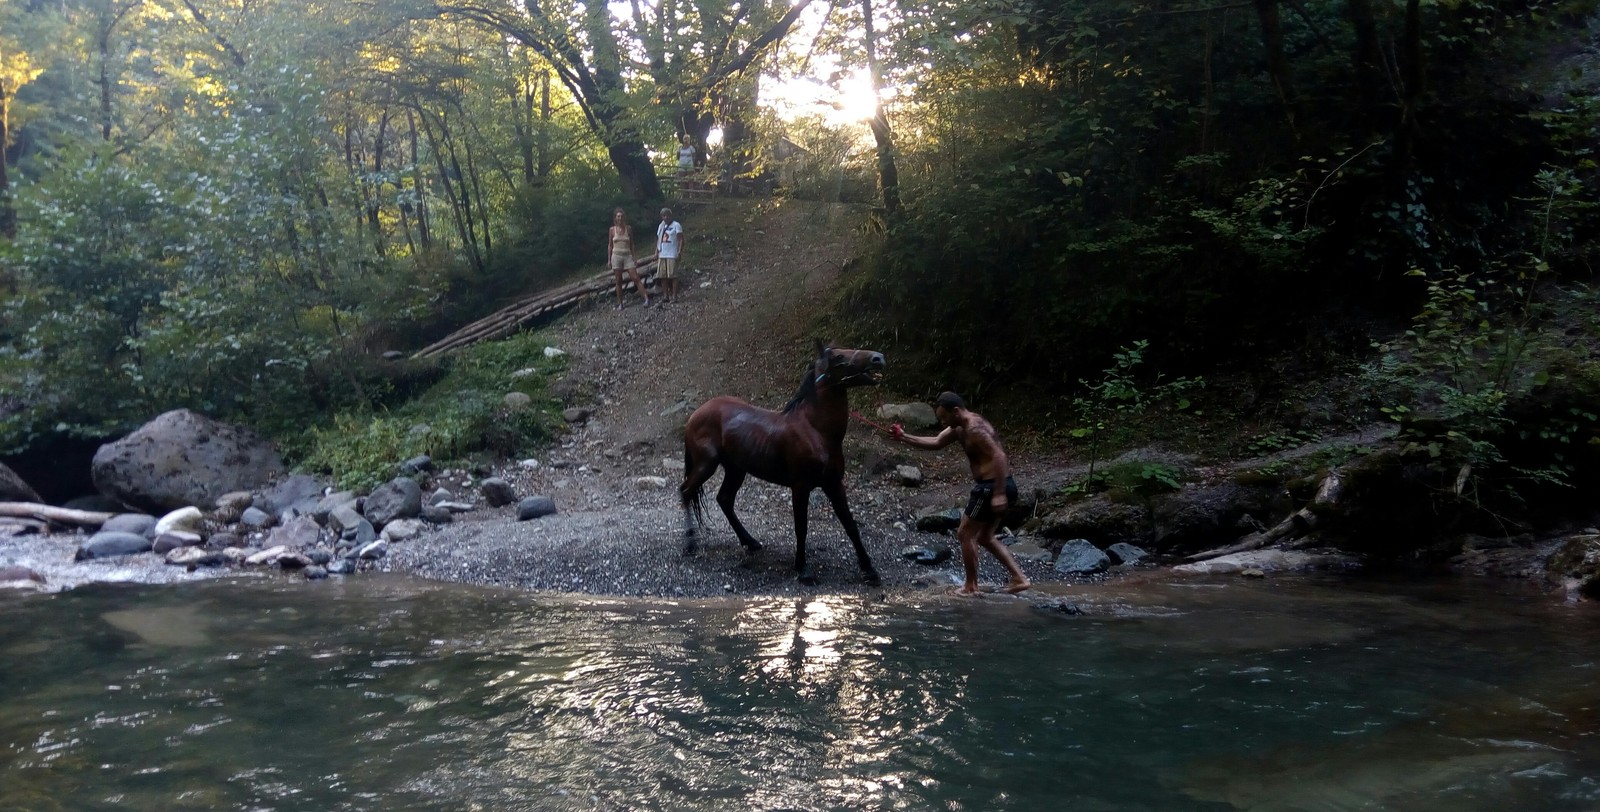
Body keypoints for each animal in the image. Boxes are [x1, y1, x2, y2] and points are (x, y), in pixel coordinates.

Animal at [678, 340, 889, 585]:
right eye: (838, 356)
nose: (878, 358)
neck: (817, 432)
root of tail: (695, 415)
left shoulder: (834, 484)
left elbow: (850, 525)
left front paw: (869, 569)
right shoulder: (800, 487)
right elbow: (801, 527)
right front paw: (803, 569)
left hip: (736, 469)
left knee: (724, 499)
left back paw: (749, 541)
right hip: (706, 465)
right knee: (686, 492)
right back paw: (690, 544)